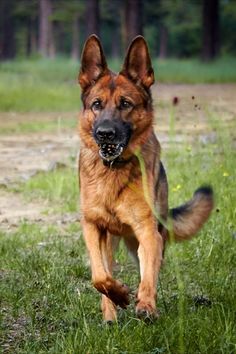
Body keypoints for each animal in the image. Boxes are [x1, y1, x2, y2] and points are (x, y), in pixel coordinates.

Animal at [78, 34, 214, 322]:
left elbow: (147, 276)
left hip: (149, 238)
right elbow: (99, 276)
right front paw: (119, 296)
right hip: (110, 241)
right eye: (97, 105)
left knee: (148, 266)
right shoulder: (92, 226)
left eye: (125, 104)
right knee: (106, 271)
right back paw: (110, 316)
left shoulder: (149, 232)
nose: (105, 134)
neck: (113, 170)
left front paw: (146, 306)